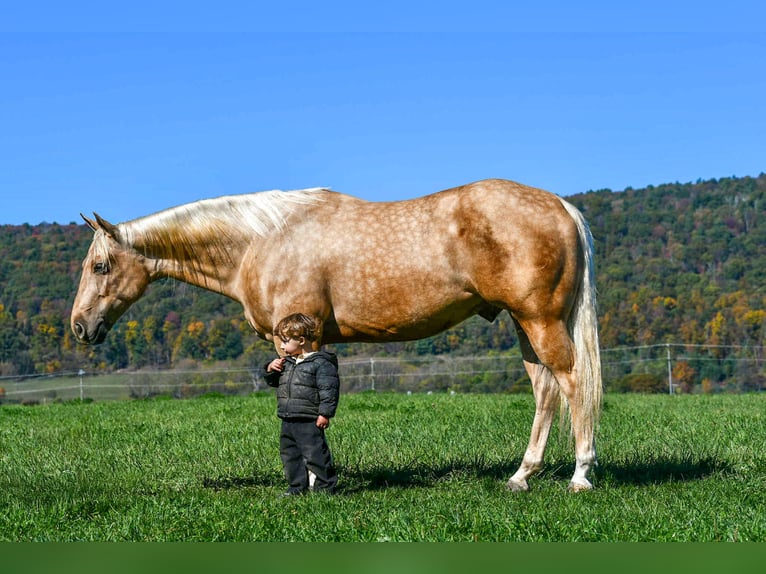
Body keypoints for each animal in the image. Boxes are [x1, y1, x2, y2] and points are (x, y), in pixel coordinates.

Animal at [70, 178, 602, 491]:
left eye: (100, 266)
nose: (79, 326)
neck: (261, 241)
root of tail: (562, 206)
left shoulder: (298, 338)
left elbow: (306, 412)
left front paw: (310, 483)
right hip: (523, 325)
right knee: (545, 391)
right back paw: (521, 476)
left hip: (539, 320)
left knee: (573, 383)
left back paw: (580, 475)